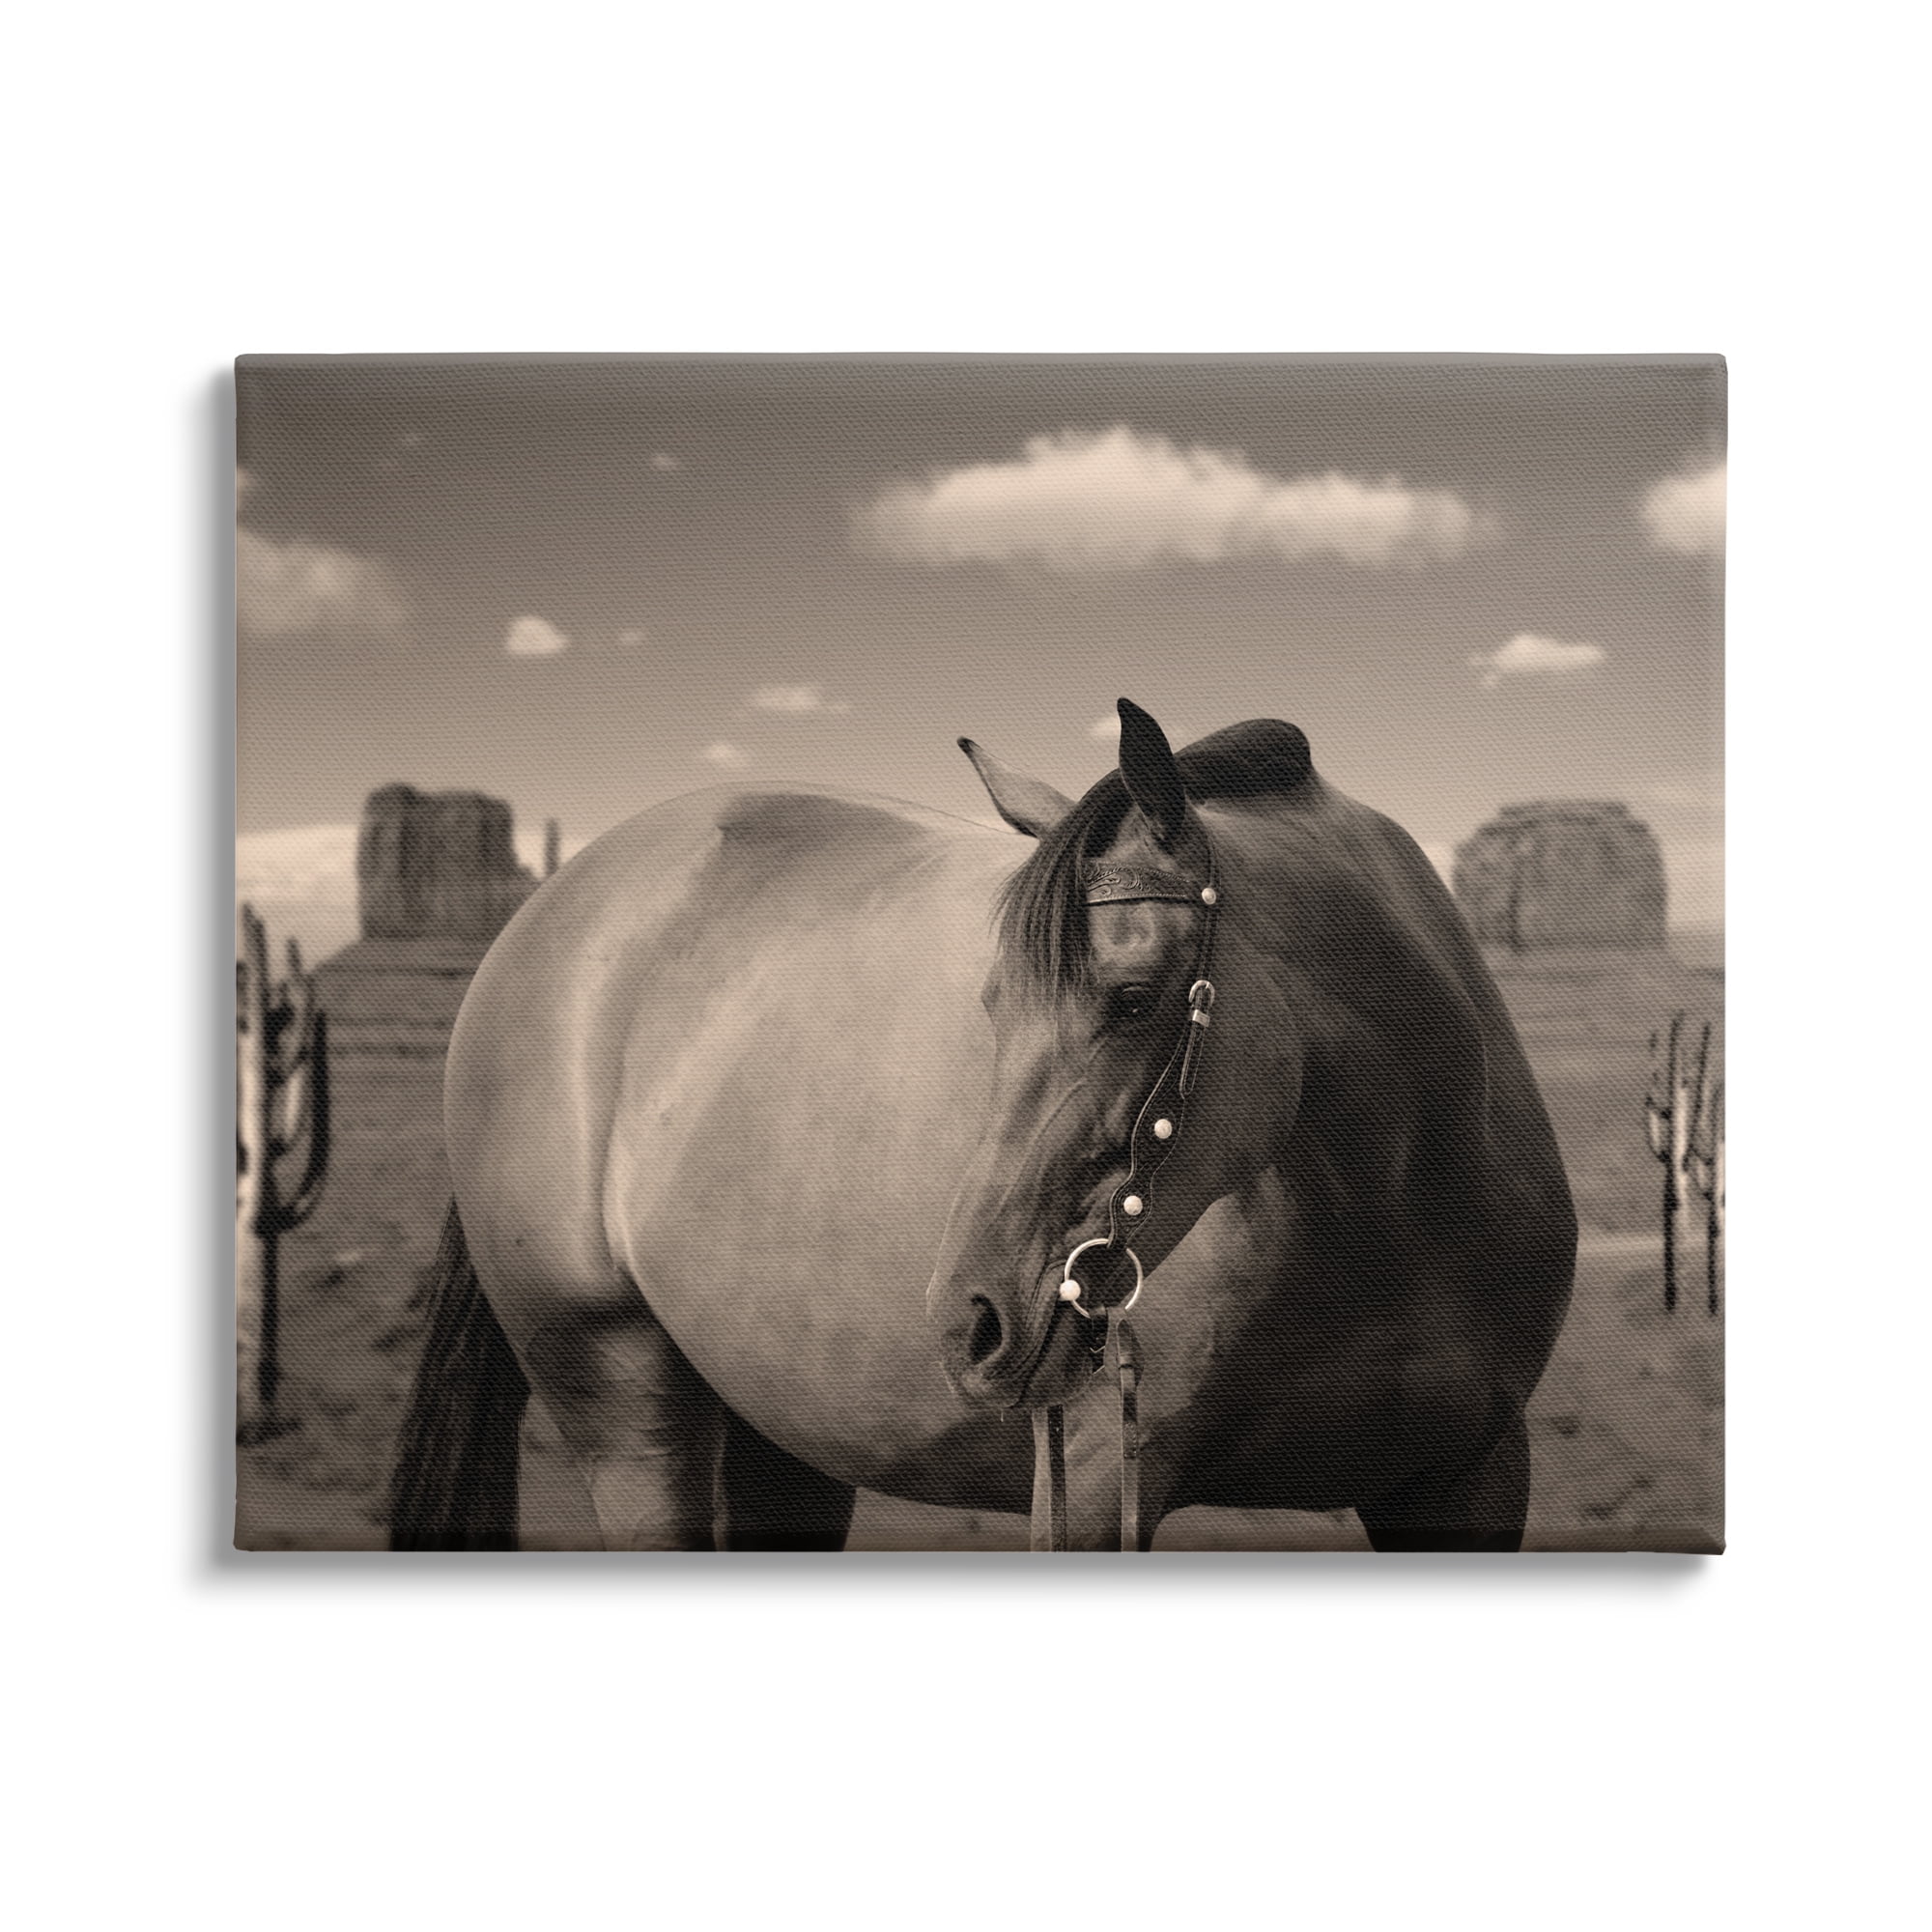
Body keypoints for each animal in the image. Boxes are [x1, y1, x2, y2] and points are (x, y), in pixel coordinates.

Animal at [390, 701, 1576, 1551]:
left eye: (1134, 998)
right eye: (993, 1004)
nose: (971, 1320)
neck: (1395, 1211)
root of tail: (546, 916)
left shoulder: (1471, 1478)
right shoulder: (1092, 1488)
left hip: (787, 1427)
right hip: (618, 1390)